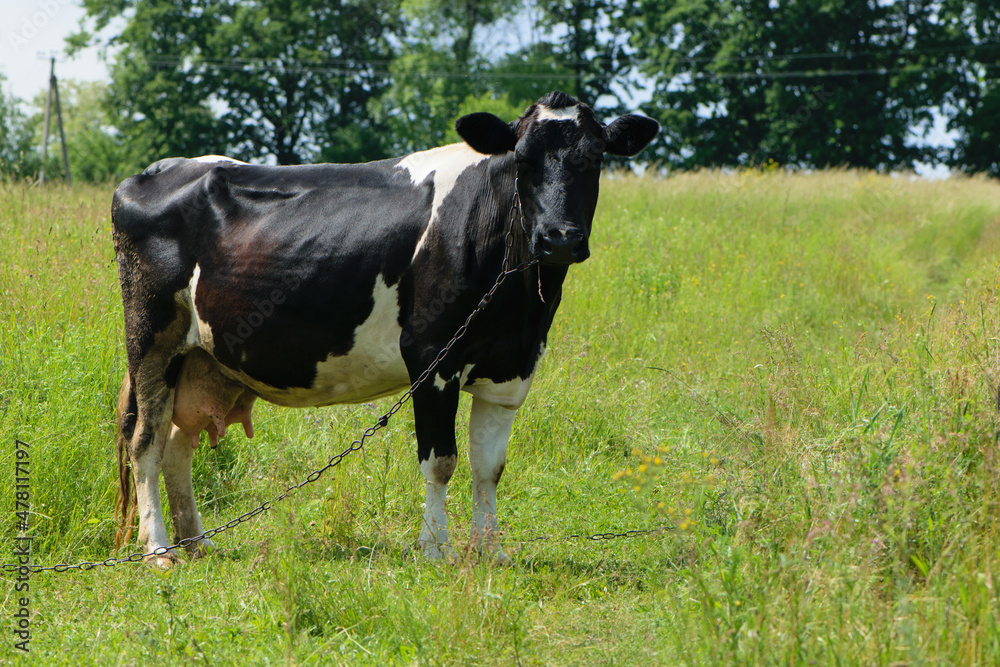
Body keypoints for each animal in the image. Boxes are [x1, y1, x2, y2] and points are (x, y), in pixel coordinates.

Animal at [113, 90, 656, 568]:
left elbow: (489, 467)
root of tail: (154, 171)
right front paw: (436, 549)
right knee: (145, 441)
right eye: (521, 159)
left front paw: (491, 552)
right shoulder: (433, 358)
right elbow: (441, 460)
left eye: (595, 158)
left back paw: (197, 543)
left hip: (205, 359)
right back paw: (158, 549)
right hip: (152, 338)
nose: (559, 238)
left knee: (177, 445)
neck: (521, 300)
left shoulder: (511, 368)